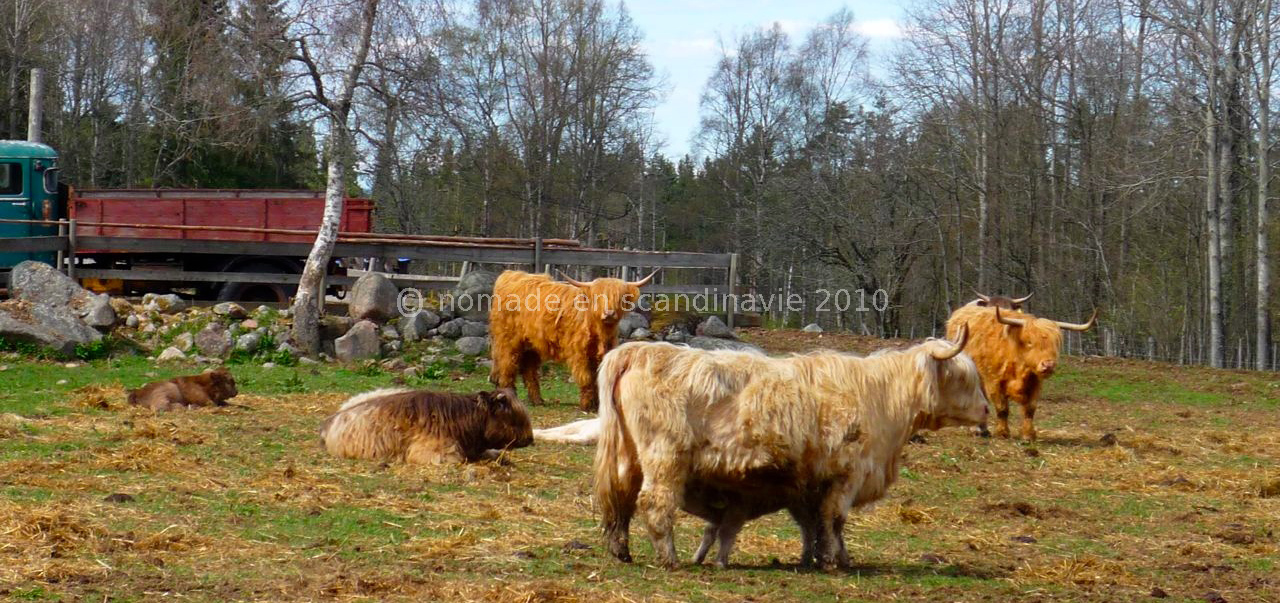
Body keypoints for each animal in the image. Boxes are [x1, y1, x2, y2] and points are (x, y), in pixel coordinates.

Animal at [489, 269, 655, 411]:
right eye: (597, 297)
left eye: (619, 297)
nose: (609, 314)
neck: (599, 331)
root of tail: (510, 274)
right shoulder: (579, 353)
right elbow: (586, 378)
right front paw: (587, 406)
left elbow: (597, 379)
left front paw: (598, 405)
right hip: (508, 340)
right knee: (507, 367)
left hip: (531, 345)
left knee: (529, 370)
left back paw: (538, 401)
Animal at [592, 329, 988, 569]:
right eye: (962, 377)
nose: (987, 410)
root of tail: (638, 351)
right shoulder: (848, 474)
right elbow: (834, 519)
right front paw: (831, 562)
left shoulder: (817, 482)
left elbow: (819, 523)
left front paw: (833, 558)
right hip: (665, 456)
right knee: (654, 502)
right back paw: (669, 558)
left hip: (629, 455)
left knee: (621, 498)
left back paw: (621, 550)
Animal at [946, 304, 1096, 441]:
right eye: (1030, 342)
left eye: (1055, 343)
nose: (1048, 365)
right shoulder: (993, 381)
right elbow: (1002, 409)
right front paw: (1003, 433)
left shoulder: (1036, 383)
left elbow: (1030, 409)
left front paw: (1028, 435)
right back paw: (978, 429)